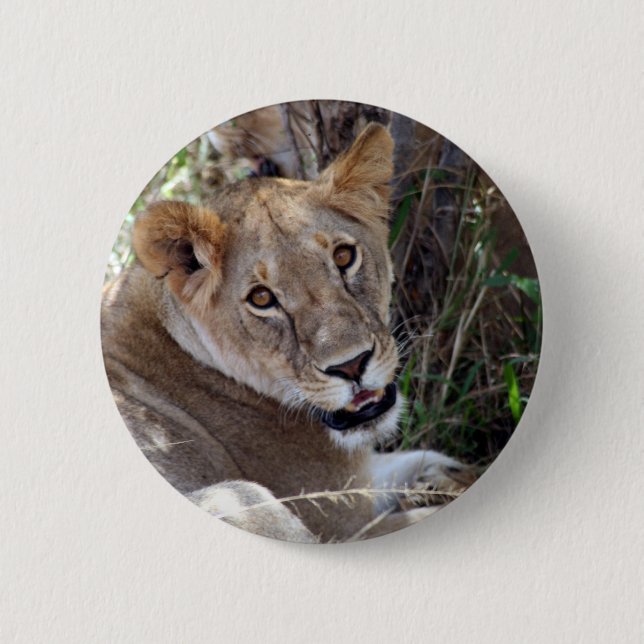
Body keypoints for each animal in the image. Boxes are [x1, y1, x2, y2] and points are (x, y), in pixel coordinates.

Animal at [101, 123, 471, 543]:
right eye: (262, 298)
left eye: (343, 257)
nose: (352, 366)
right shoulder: (343, 521)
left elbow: (417, 460)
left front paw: (447, 474)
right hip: (241, 498)